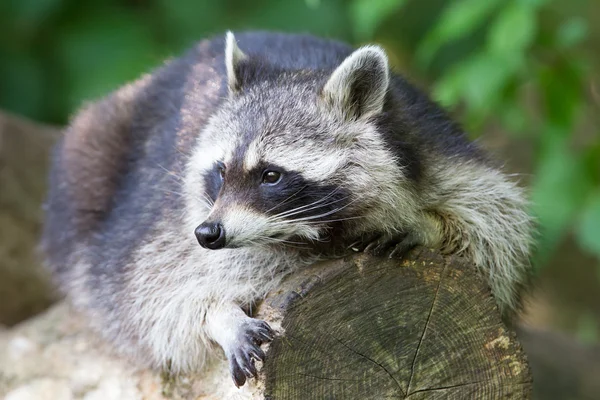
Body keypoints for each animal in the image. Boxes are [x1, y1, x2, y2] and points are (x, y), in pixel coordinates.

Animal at [39, 31, 532, 388]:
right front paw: (218, 315)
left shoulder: (431, 143)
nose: (209, 234)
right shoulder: (172, 222)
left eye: (270, 175)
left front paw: (428, 224)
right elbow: (152, 298)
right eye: (220, 171)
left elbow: (498, 227)